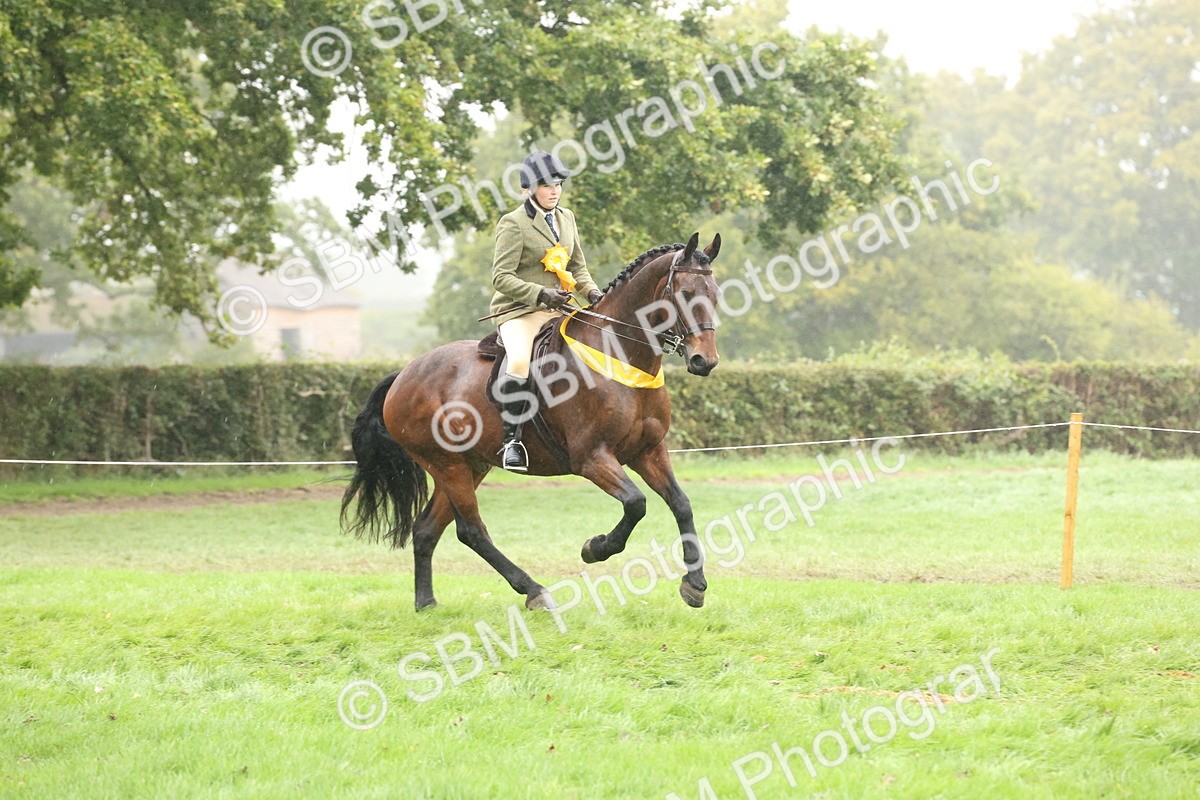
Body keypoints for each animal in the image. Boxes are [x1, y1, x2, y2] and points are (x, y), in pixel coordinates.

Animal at [340, 232, 722, 612]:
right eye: (686, 294)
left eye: (716, 294)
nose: (704, 361)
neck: (621, 356)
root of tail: (404, 374)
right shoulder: (592, 458)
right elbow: (635, 503)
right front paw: (595, 548)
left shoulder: (648, 451)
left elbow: (681, 503)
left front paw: (695, 584)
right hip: (447, 465)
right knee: (472, 531)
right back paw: (534, 590)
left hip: (471, 465)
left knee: (426, 530)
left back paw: (427, 603)